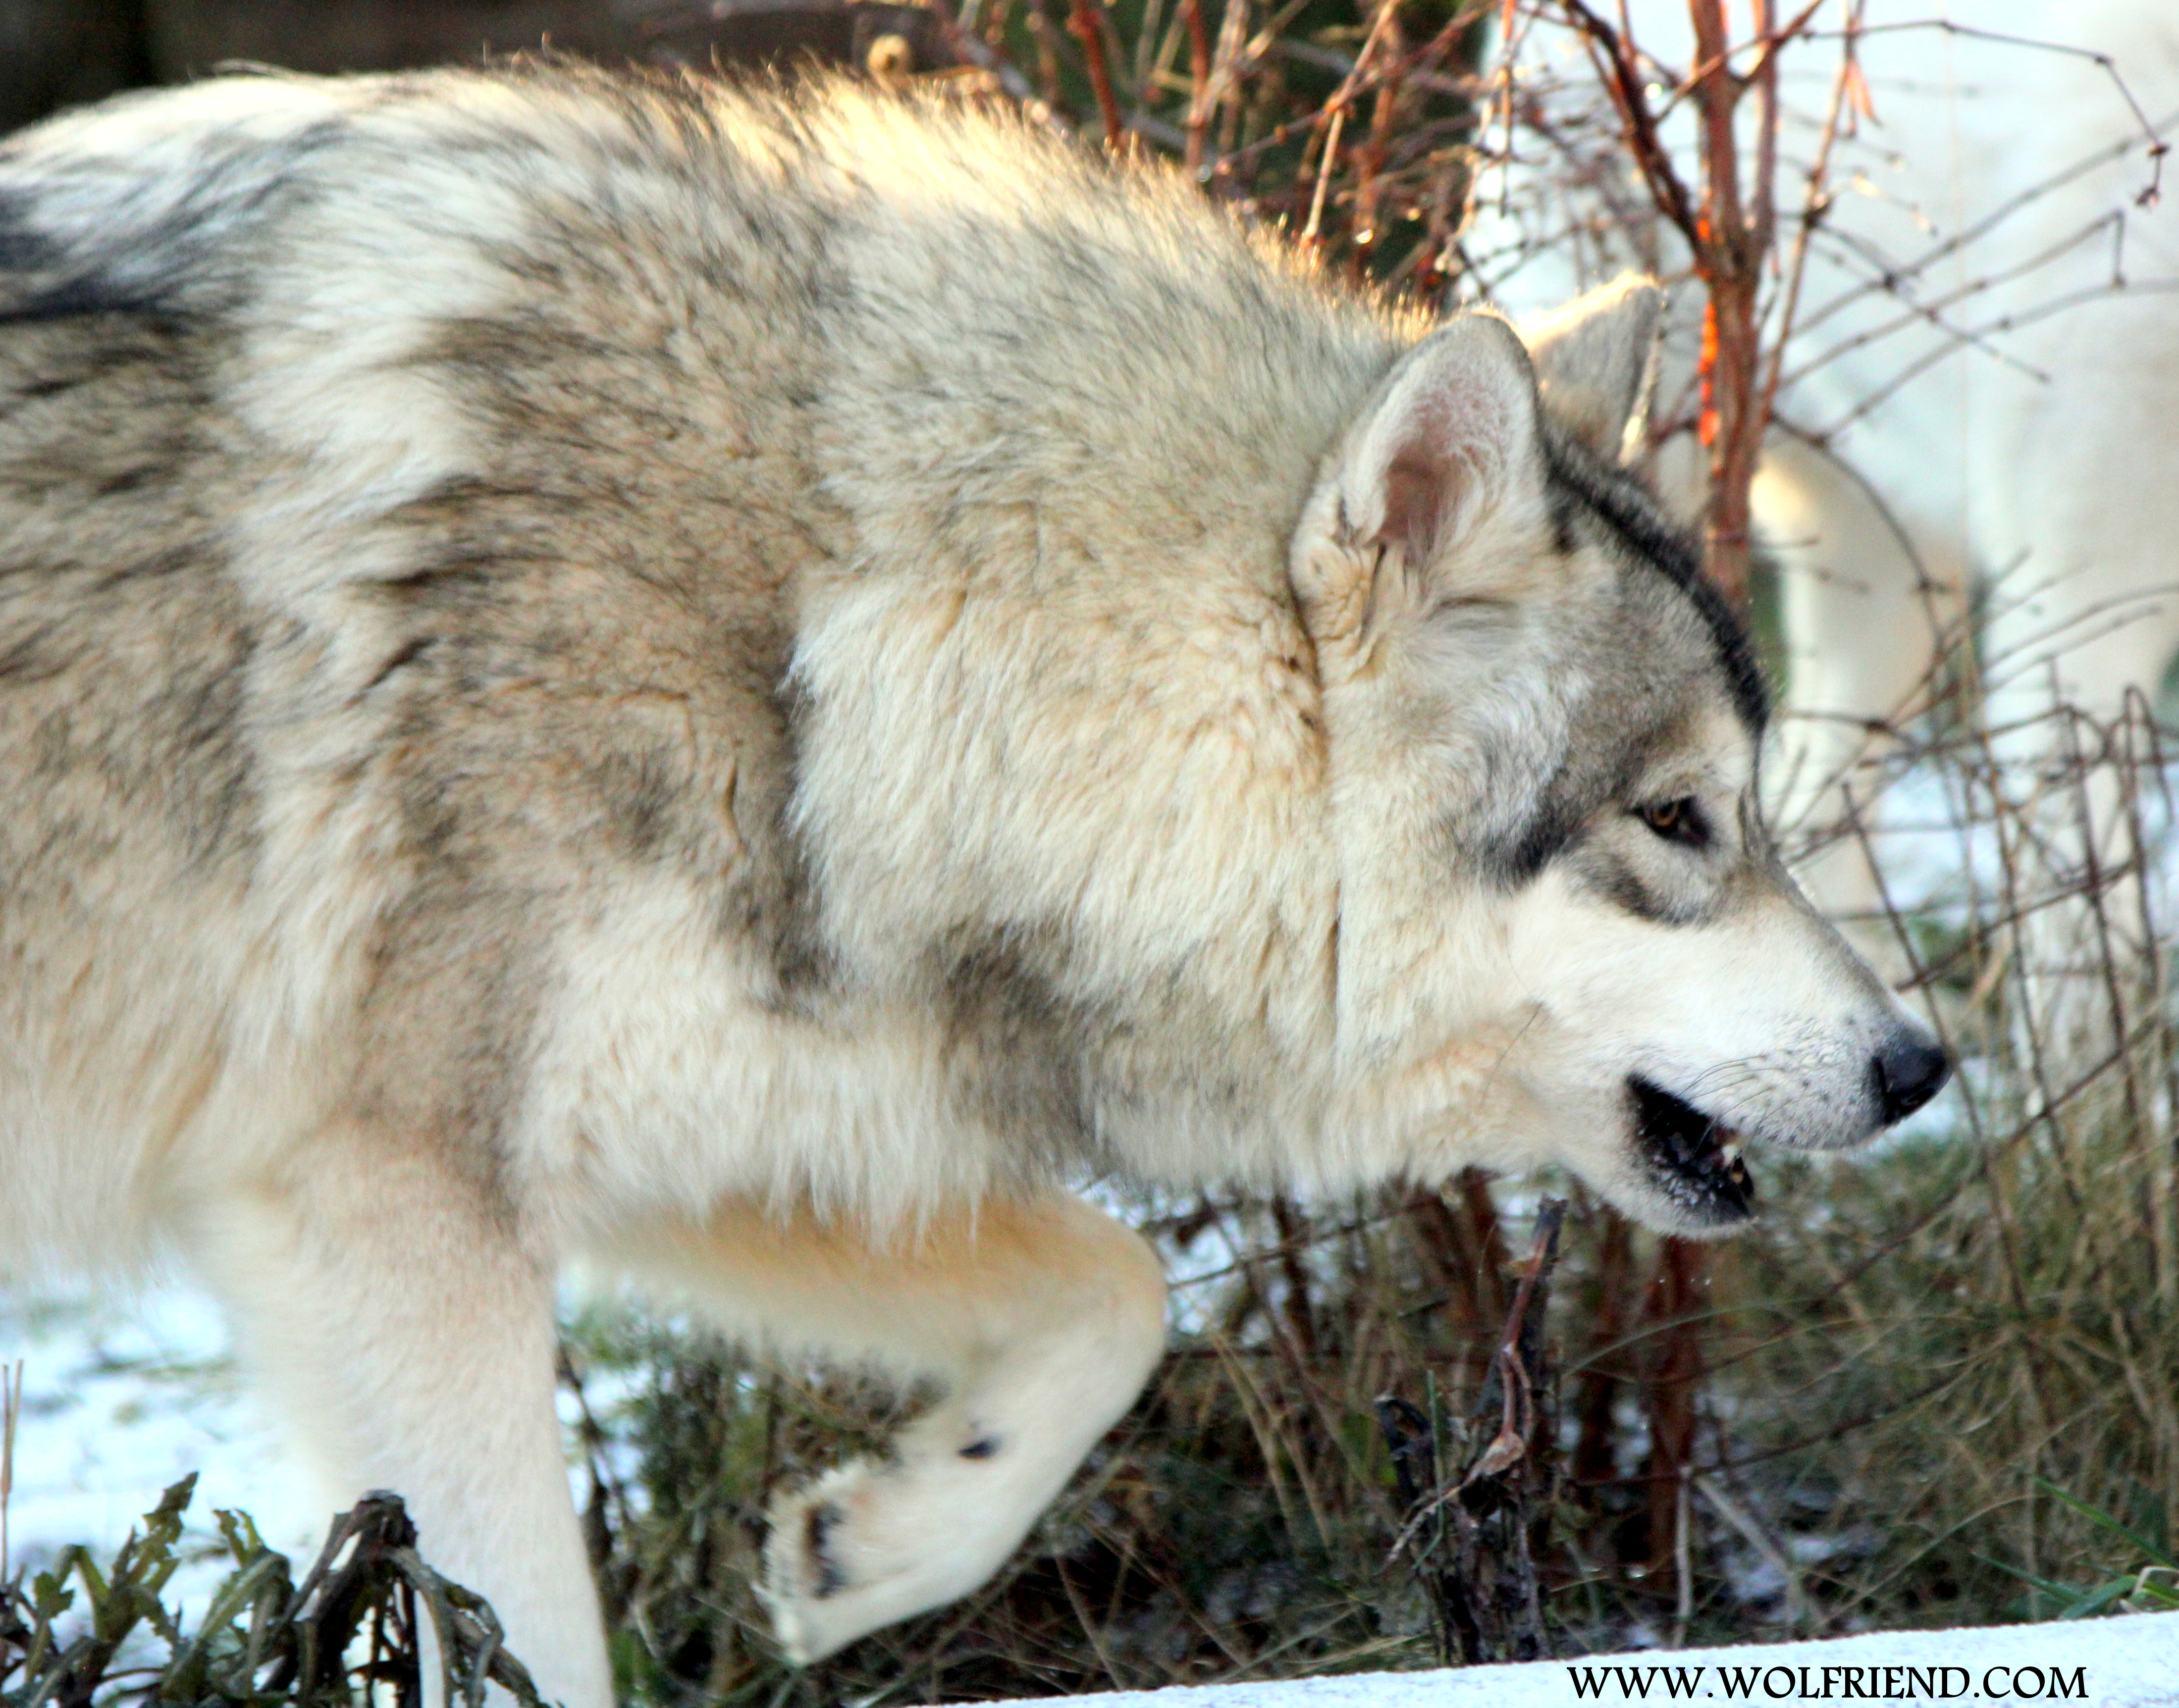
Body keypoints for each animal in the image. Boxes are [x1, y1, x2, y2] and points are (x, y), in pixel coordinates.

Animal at [0, 66, 1943, 1708]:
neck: (836, 629)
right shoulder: (391, 1206)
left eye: (1744, 808)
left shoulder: (738, 1123)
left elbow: (1117, 1296)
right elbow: (528, 1627)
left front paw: (874, 1541)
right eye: (1678, 818)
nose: (1920, 1066)